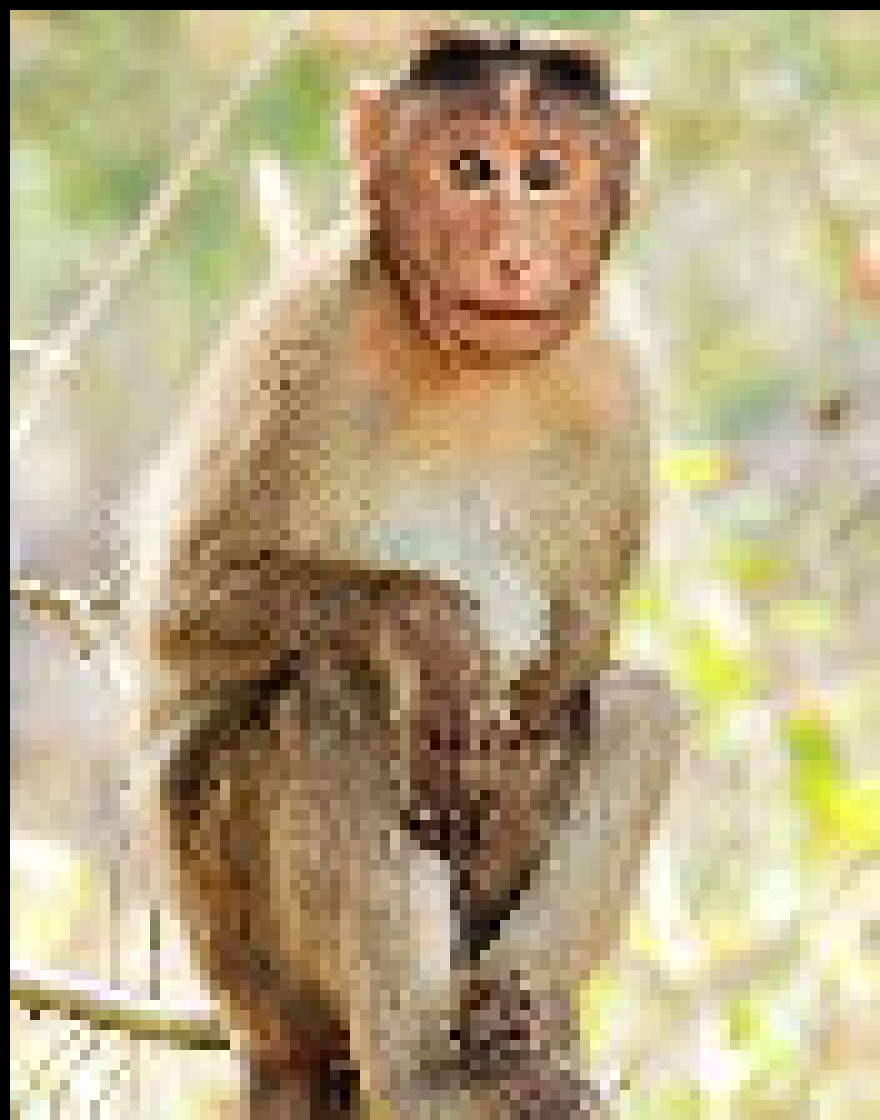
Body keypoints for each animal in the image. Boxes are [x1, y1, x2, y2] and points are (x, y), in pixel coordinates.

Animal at [129, 26, 675, 1118]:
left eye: (545, 173)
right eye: (467, 169)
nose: (512, 251)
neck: (468, 365)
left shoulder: (617, 379)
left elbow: (575, 661)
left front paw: (514, 761)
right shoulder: (308, 328)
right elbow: (182, 607)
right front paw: (436, 626)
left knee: (637, 703)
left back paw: (520, 1029)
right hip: (239, 941)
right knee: (332, 691)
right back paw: (418, 1069)